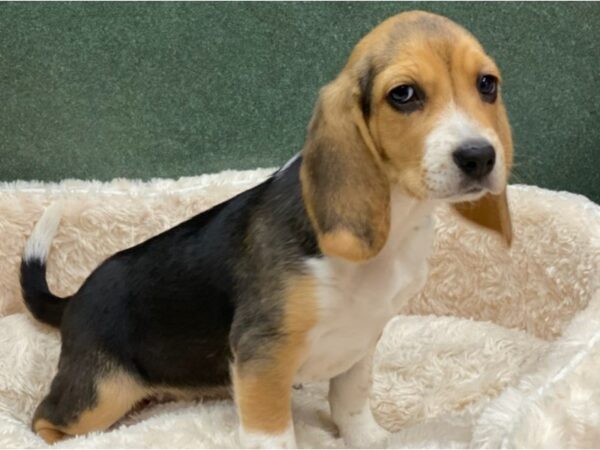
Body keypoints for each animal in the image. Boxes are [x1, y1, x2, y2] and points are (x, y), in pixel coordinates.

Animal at [21, 9, 512, 446]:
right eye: (404, 94)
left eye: (487, 84)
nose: (480, 157)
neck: (398, 218)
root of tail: (72, 301)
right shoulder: (262, 353)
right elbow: (272, 433)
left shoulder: (361, 341)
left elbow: (352, 403)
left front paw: (372, 440)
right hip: (101, 393)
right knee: (44, 420)